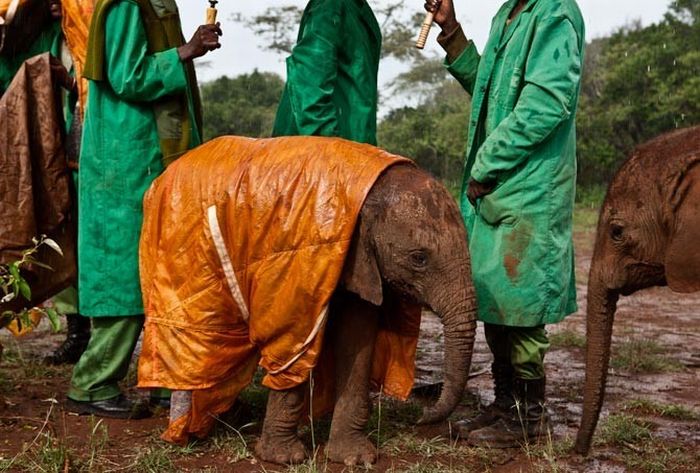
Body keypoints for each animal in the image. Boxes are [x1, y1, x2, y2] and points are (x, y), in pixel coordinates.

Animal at [137, 135, 476, 462]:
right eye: (419, 258)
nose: (421, 416)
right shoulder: (297, 262)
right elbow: (293, 340)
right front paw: (283, 458)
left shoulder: (361, 261)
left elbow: (358, 336)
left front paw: (354, 458)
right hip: (178, 253)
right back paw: (185, 431)